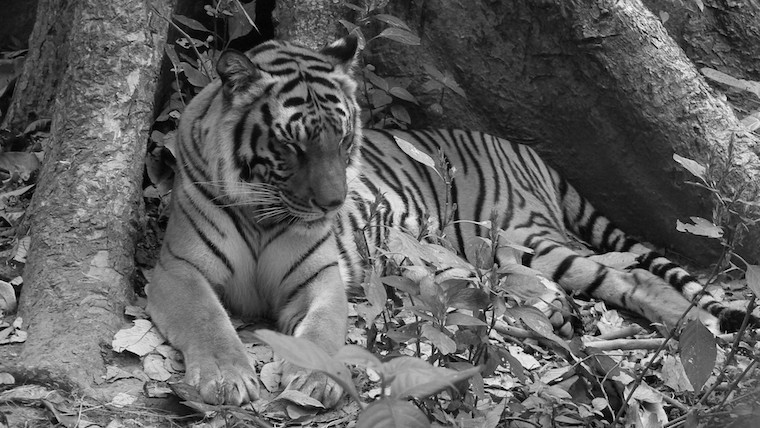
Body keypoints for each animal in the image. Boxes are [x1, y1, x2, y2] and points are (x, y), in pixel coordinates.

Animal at [146, 33, 757, 407]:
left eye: (343, 140)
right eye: (293, 147)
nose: (335, 204)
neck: (266, 213)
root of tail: (528, 149)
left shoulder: (320, 277)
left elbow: (323, 331)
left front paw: (317, 378)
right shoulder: (176, 269)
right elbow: (207, 319)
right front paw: (225, 377)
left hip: (523, 235)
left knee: (633, 278)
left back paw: (696, 334)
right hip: (492, 253)